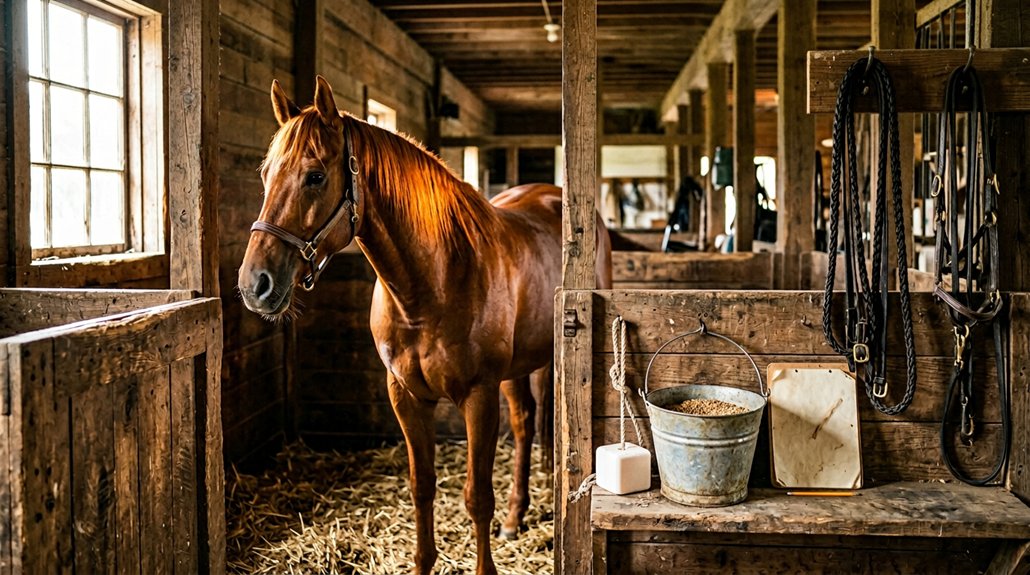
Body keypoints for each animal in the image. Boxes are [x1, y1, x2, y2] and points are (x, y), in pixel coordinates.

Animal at [237, 76, 613, 575]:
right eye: (265, 176)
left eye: (315, 176)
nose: (254, 284)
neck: (430, 285)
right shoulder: (406, 395)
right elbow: (422, 485)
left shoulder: (478, 396)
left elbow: (477, 497)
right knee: (525, 422)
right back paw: (517, 516)